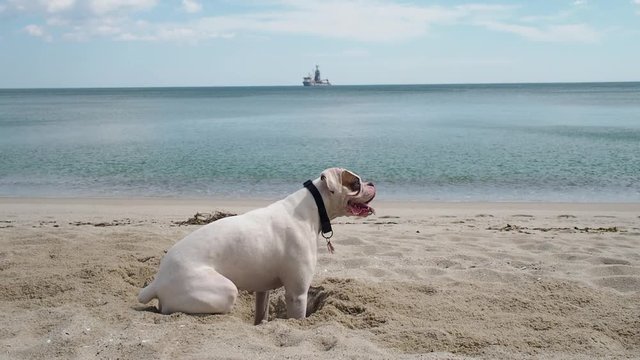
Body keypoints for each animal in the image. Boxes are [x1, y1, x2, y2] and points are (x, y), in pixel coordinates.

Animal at [138, 168, 372, 324]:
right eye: (356, 182)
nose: (371, 183)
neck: (313, 206)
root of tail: (157, 282)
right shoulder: (297, 294)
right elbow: (298, 319)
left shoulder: (263, 290)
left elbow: (261, 315)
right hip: (224, 291)